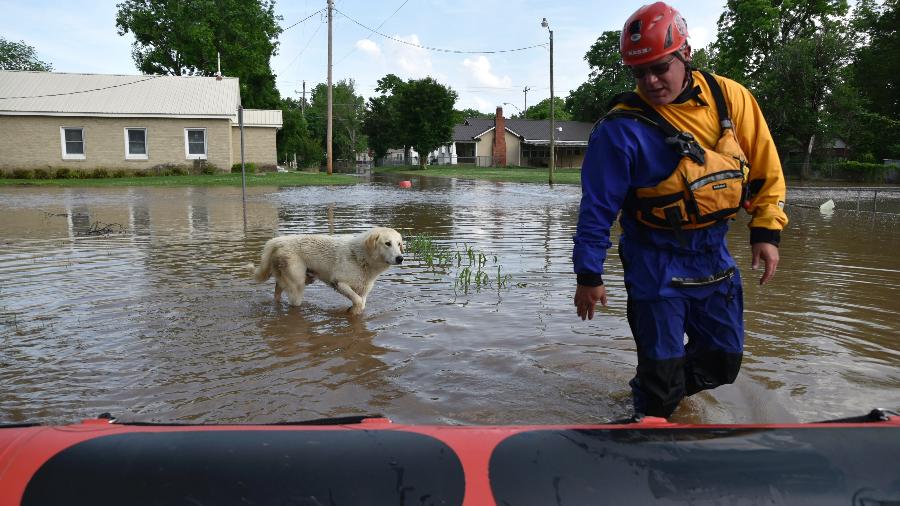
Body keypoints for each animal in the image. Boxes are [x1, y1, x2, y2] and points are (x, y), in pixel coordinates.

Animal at [244, 227, 402, 314]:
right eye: (387, 243)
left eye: (399, 244)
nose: (400, 258)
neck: (361, 256)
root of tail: (278, 240)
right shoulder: (339, 283)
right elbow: (357, 301)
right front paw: (351, 311)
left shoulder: (363, 291)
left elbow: (360, 304)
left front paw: (352, 312)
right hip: (297, 285)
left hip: (303, 278)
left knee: (277, 291)